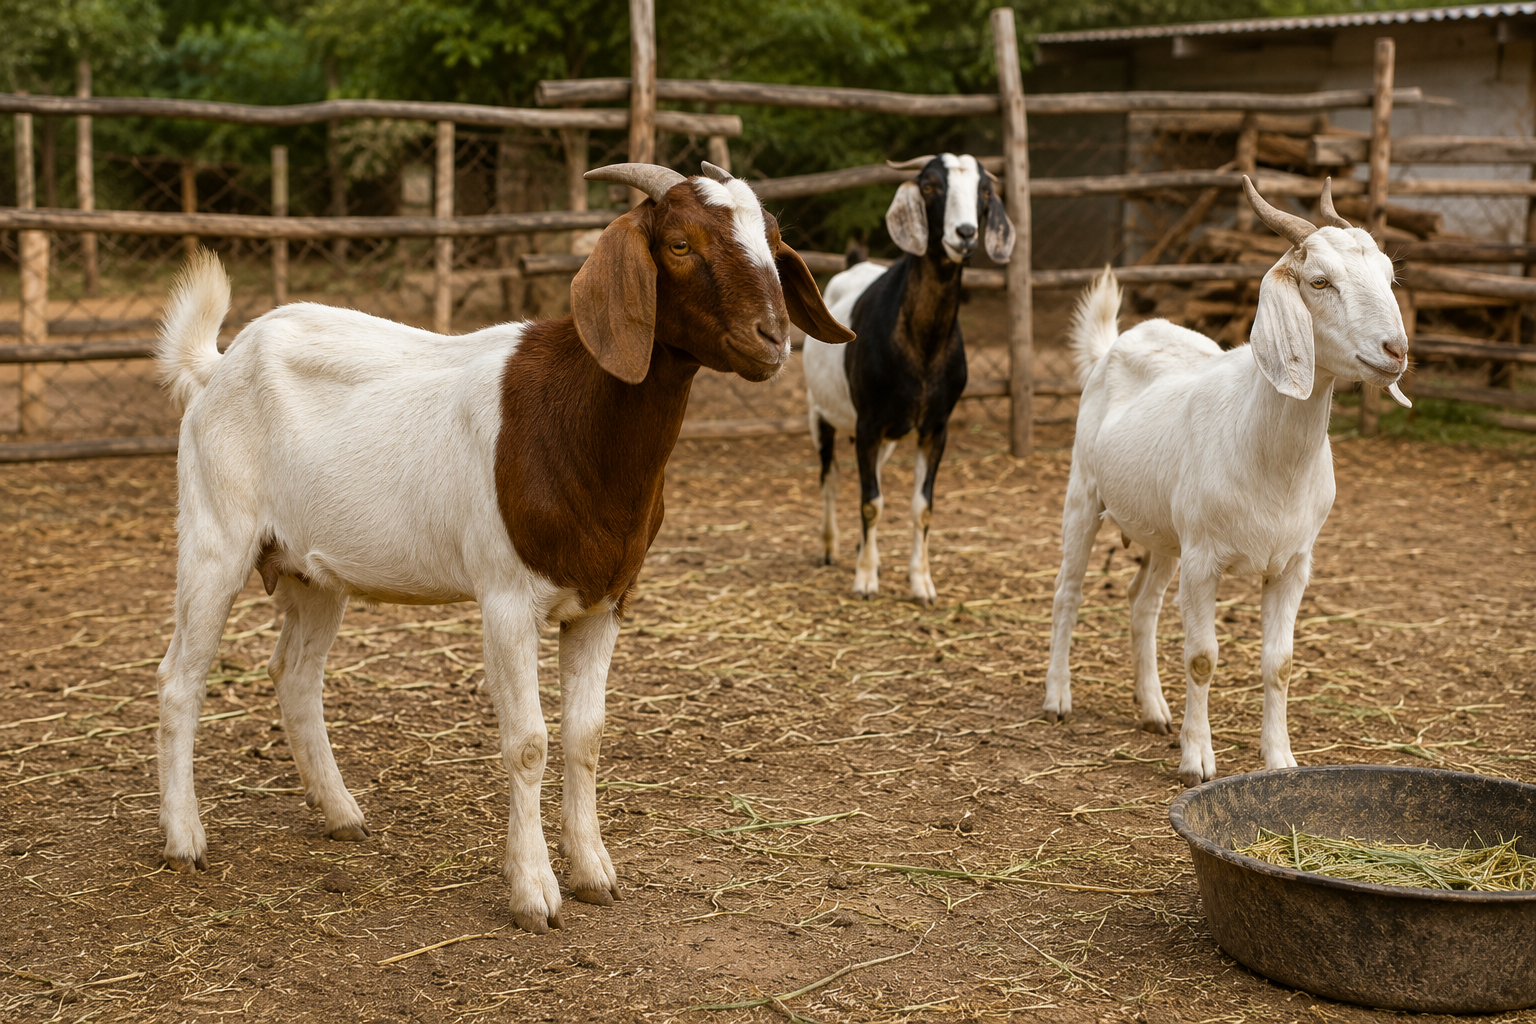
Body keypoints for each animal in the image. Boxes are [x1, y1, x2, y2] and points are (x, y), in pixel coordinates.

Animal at [153, 161, 854, 934]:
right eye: (678, 243)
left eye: (776, 243)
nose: (773, 338)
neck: (577, 421)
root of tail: (219, 367)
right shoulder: (506, 600)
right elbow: (528, 742)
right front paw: (534, 893)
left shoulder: (604, 602)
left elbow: (585, 736)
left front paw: (595, 873)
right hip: (215, 535)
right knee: (181, 677)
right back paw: (184, 840)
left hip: (314, 570)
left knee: (296, 676)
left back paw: (340, 814)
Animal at [802, 154, 1015, 605]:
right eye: (930, 185)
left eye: (985, 192)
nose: (965, 234)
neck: (923, 347)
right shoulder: (868, 423)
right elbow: (870, 502)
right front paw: (865, 580)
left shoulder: (934, 427)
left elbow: (921, 506)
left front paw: (921, 583)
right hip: (820, 412)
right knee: (830, 478)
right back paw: (829, 548)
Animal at [1043, 178, 1410, 787]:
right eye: (1319, 281)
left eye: (1388, 275)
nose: (1396, 351)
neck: (1268, 456)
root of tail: (1116, 343)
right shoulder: (1204, 560)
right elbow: (1202, 658)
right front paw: (1197, 761)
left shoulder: (1292, 565)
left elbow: (1280, 663)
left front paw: (1280, 760)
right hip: (1084, 492)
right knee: (1067, 591)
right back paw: (1057, 699)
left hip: (1164, 534)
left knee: (1141, 601)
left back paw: (1153, 710)